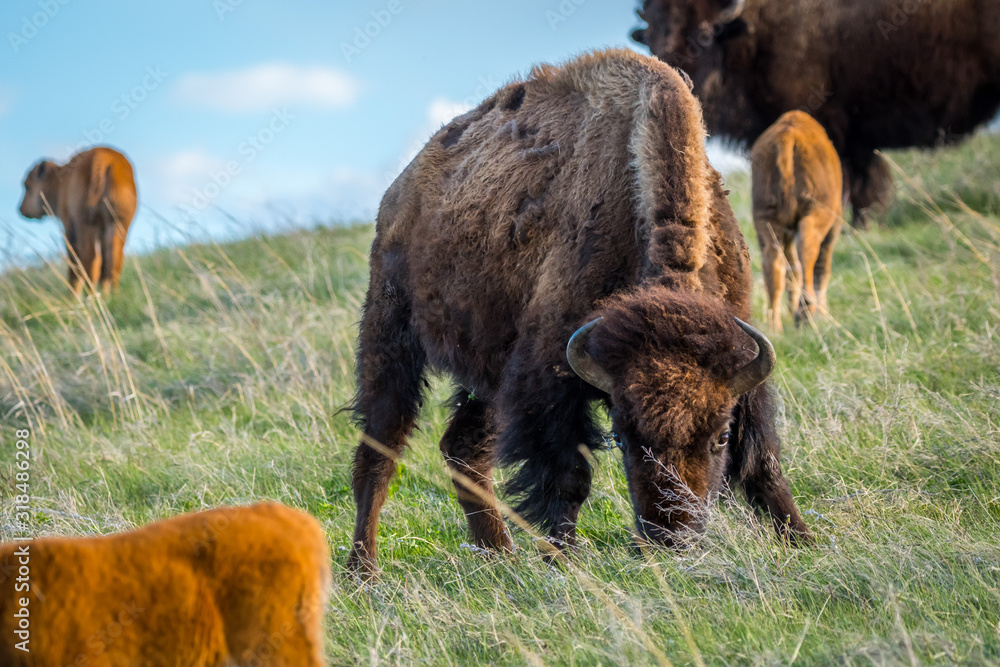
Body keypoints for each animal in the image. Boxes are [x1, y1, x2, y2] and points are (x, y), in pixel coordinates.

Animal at [18, 146, 138, 294]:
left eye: (27, 186)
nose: (21, 209)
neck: (60, 181)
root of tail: (104, 157)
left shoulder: (70, 228)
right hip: (118, 225)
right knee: (114, 261)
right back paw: (113, 295)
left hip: (87, 226)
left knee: (91, 261)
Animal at [347, 49, 811, 576]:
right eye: (624, 439)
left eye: (719, 436)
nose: (671, 539)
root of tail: (400, 191)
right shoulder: (548, 374)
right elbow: (568, 474)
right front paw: (564, 556)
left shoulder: (743, 359)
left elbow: (763, 459)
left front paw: (802, 539)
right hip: (391, 333)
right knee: (381, 449)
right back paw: (364, 570)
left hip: (488, 373)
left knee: (463, 448)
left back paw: (498, 552)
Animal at [750, 111, 844, 333]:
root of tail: (788, 135)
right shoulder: (834, 223)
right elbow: (822, 267)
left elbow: (791, 270)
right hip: (815, 213)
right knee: (808, 252)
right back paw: (805, 312)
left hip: (766, 219)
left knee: (774, 264)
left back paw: (775, 327)